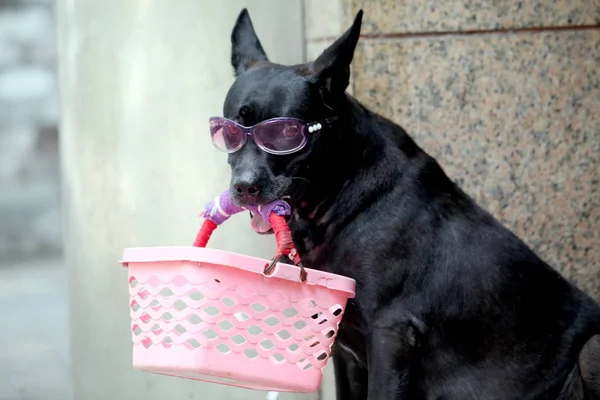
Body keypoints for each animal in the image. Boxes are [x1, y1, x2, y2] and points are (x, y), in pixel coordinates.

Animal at [218, 7, 596, 398]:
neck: (337, 195)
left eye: (286, 134)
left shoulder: (391, 334)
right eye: (228, 131)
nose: (243, 188)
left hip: (590, 349)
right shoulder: (340, 343)